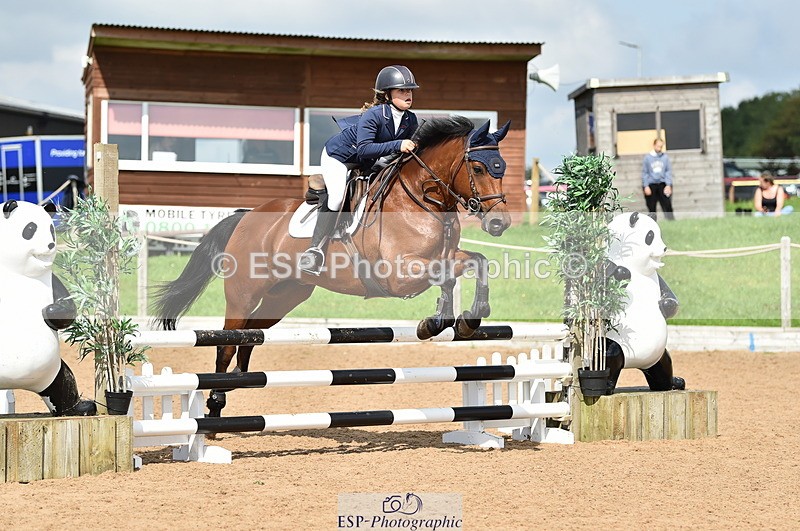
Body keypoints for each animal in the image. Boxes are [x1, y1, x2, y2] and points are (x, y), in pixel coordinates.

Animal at [151, 115, 512, 416]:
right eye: (478, 169)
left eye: (502, 167)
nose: (499, 224)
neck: (421, 200)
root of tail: (246, 216)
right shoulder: (400, 273)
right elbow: (448, 276)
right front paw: (437, 323)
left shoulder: (446, 257)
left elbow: (477, 263)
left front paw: (467, 319)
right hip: (243, 294)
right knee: (227, 341)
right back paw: (215, 402)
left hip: (285, 296)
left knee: (251, 334)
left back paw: (239, 380)